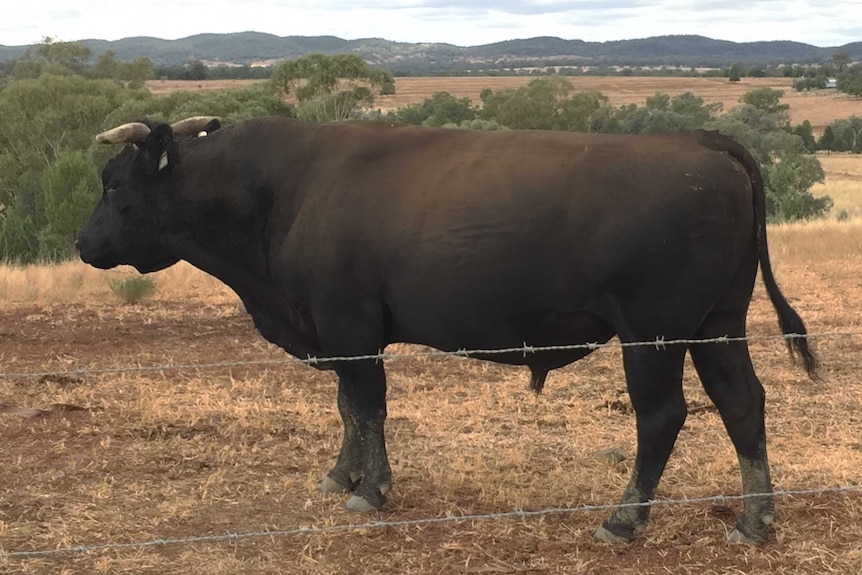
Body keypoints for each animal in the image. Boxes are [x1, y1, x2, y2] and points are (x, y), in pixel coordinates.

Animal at [74, 116, 816, 544]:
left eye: (113, 185)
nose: (83, 244)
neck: (284, 188)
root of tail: (698, 142)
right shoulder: (340, 334)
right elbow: (348, 408)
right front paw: (340, 476)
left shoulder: (350, 325)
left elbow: (368, 407)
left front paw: (370, 490)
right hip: (718, 325)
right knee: (743, 404)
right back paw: (755, 520)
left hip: (653, 335)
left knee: (662, 417)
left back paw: (624, 520)